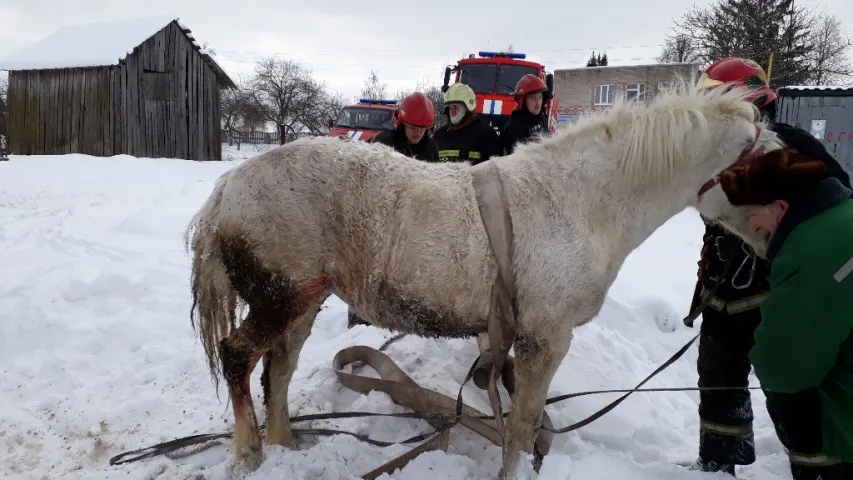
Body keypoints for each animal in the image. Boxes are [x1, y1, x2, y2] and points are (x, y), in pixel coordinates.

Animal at [183, 78, 784, 476]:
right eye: (773, 164)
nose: (773, 242)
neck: (580, 203)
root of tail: (227, 189)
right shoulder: (547, 339)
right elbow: (521, 426)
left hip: (303, 299)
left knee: (278, 369)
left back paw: (284, 445)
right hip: (280, 298)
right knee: (240, 357)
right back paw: (250, 451)